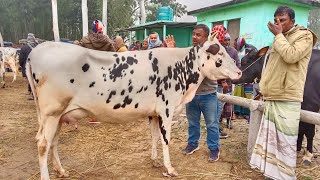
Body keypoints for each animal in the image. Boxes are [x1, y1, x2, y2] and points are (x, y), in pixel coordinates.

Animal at [26, 35, 240, 180]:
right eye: (220, 54)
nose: (239, 72)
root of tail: (36, 50)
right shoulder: (167, 109)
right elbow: (166, 140)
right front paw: (169, 168)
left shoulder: (154, 113)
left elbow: (154, 136)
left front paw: (154, 160)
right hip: (51, 113)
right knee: (43, 144)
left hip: (58, 116)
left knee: (52, 142)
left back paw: (61, 170)